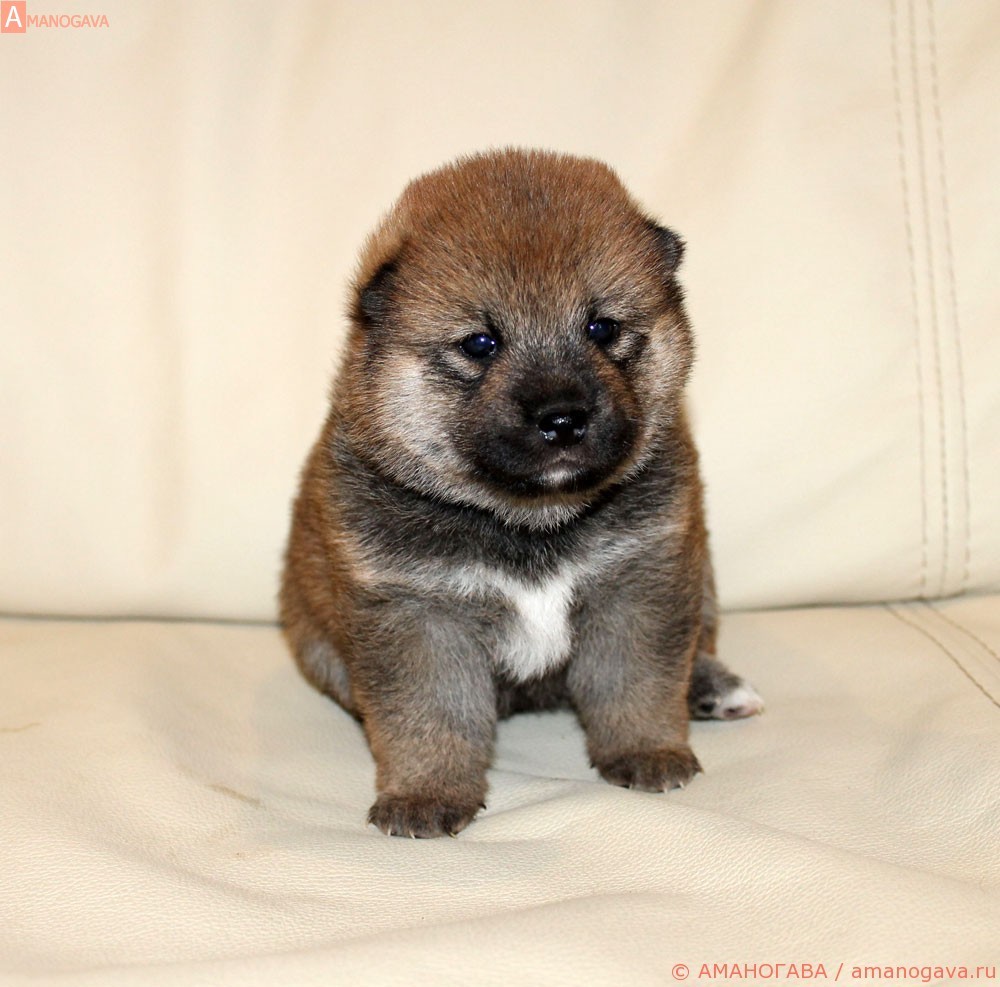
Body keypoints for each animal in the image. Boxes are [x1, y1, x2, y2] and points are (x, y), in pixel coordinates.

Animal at [280, 148, 762, 838]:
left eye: (602, 327)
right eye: (481, 344)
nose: (562, 418)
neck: (529, 519)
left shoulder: (641, 579)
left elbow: (637, 681)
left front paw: (648, 750)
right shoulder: (418, 615)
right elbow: (431, 715)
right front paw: (426, 792)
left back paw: (714, 688)